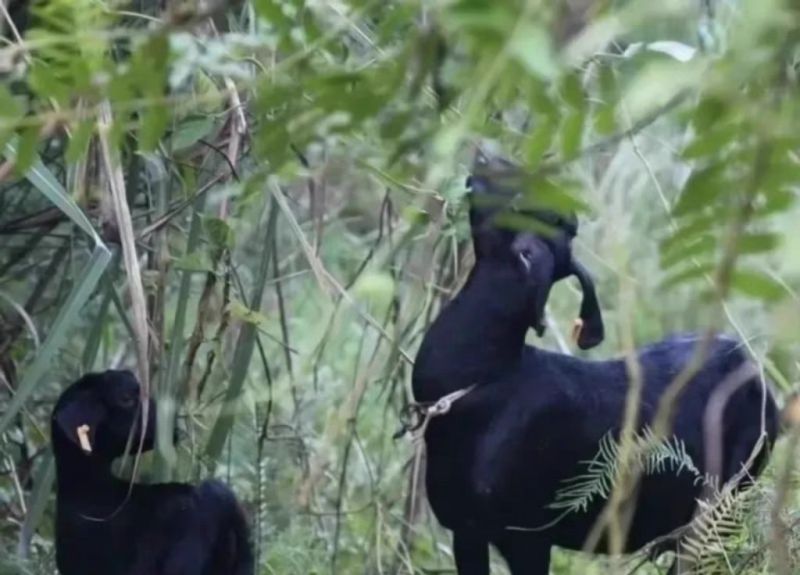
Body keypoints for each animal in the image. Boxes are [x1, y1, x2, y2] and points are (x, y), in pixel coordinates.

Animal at [412, 151, 780, 572]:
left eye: (527, 206)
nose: (487, 154)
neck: (483, 379)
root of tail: (762, 383)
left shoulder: (526, 537)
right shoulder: (465, 531)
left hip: (721, 501)